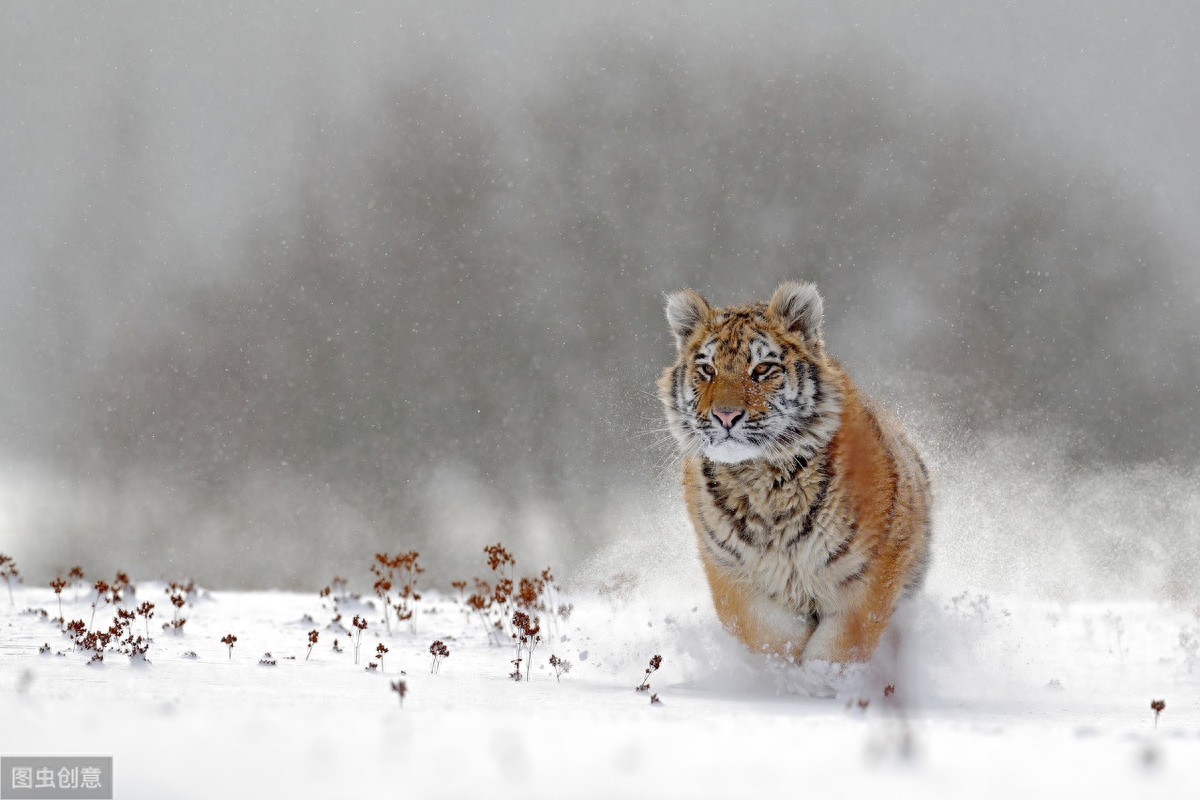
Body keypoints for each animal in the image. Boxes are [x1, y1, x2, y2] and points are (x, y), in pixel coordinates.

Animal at [657, 281, 926, 662]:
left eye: (761, 369)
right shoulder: (730, 574)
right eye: (707, 370)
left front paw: (816, 677)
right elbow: (770, 635)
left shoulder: (867, 579)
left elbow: (836, 651)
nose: (725, 416)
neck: (761, 481)